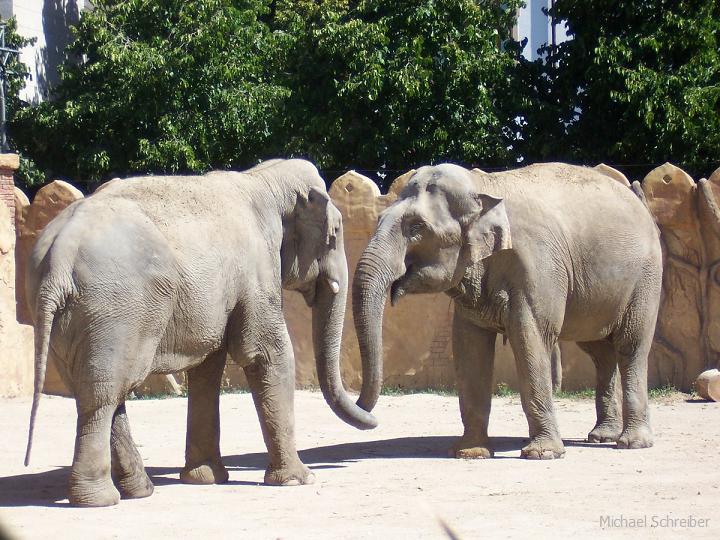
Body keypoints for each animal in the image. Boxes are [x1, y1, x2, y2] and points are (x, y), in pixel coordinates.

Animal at [23, 157, 376, 506]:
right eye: (335, 234)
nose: (373, 421)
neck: (262, 179)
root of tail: (59, 257)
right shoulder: (255, 269)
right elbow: (266, 353)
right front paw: (298, 480)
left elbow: (208, 367)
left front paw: (205, 479)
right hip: (114, 309)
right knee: (104, 394)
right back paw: (101, 500)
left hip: (70, 319)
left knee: (97, 389)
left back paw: (139, 491)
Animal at [352, 161, 660, 460]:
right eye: (379, 219)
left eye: (416, 226)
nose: (370, 417)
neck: (484, 185)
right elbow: (468, 345)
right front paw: (470, 452)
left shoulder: (537, 265)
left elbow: (530, 338)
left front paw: (543, 454)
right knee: (600, 351)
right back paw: (602, 436)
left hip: (646, 277)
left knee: (631, 345)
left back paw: (632, 443)